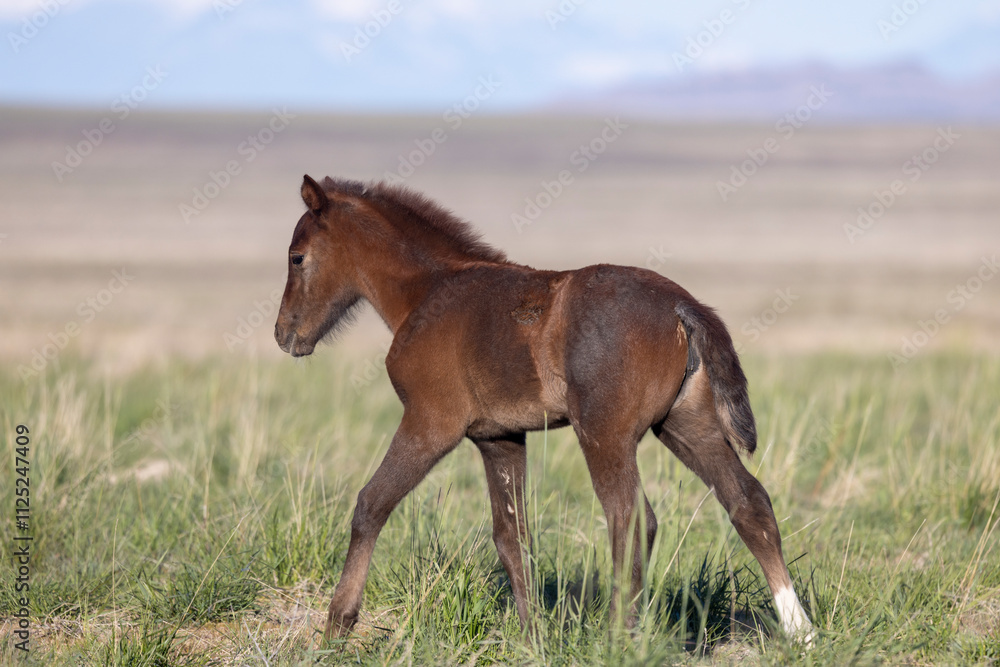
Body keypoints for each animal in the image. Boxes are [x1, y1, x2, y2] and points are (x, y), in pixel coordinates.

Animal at [274, 174, 815, 644]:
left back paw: (618, 637)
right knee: (748, 502)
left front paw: (337, 624)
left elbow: (371, 504)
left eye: (297, 257)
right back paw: (801, 632)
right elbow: (512, 537)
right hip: (686, 425)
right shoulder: (499, 438)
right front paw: (533, 636)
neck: (426, 292)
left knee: (631, 517)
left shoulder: (431, 423)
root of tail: (683, 306)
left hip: (603, 432)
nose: (284, 334)